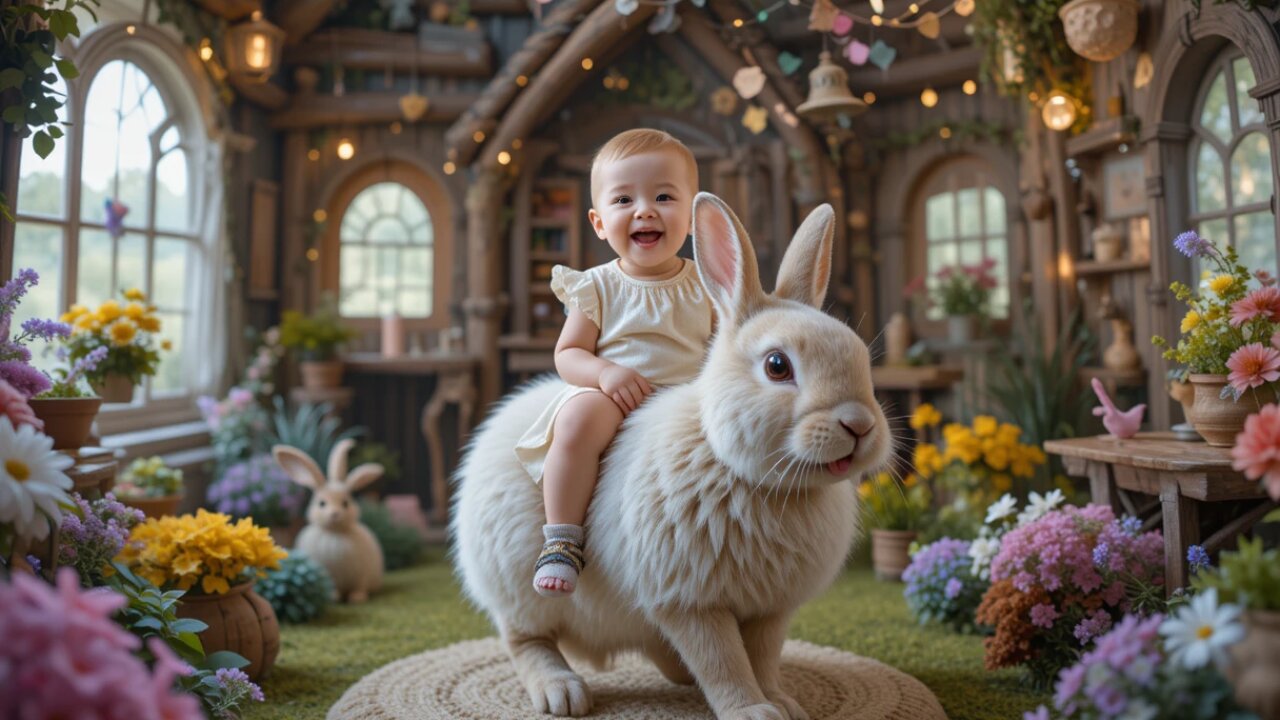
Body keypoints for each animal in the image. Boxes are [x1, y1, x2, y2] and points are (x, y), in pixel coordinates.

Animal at [458, 192, 890, 717]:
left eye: (861, 357)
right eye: (777, 366)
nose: (860, 426)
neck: (743, 472)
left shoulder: (769, 610)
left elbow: (763, 657)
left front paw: (784, 702)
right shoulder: (689, 602)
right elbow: (723, 660)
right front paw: (752, 711)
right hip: (522, 591)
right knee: (525, 639)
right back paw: (560, 690)